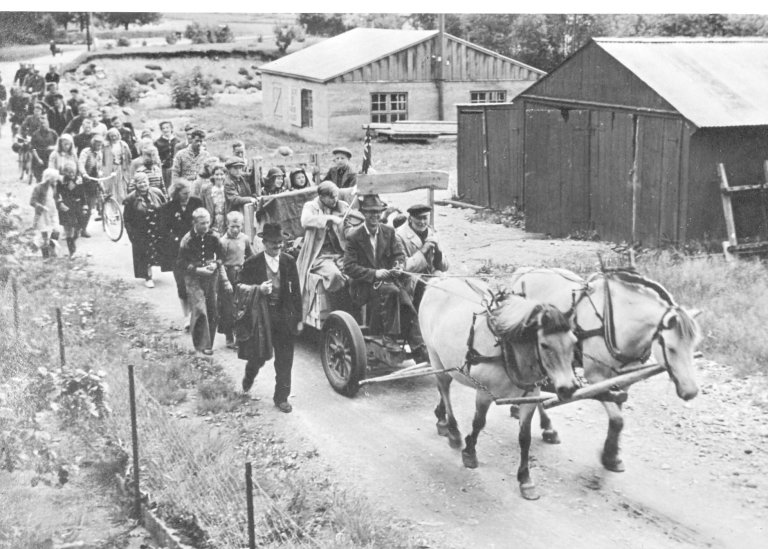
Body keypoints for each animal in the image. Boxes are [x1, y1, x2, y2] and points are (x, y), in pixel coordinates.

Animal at [420, 276, 576, 498]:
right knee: (444, 387)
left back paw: (441, 419)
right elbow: (478, 423)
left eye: (574, 342)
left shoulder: (530, 396)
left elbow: (525, 437)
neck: (507, 348)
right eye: (544, 345)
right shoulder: (484, 393)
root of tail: (438, 280)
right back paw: (453, 430)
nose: (569, 388)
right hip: (434, 356)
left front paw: (525, 478)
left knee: (444, 388)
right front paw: (469, 452)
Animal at [510, 266, 704, 470]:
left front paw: (613, 453)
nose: (691, 392)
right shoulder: (596, 377)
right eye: (671, 348)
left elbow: (617, 411)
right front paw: (610, 456)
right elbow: (617, 418)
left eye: (694, 345)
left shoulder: (625, 379)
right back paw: (545, 424)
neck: (618, 321)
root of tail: (523, 271)